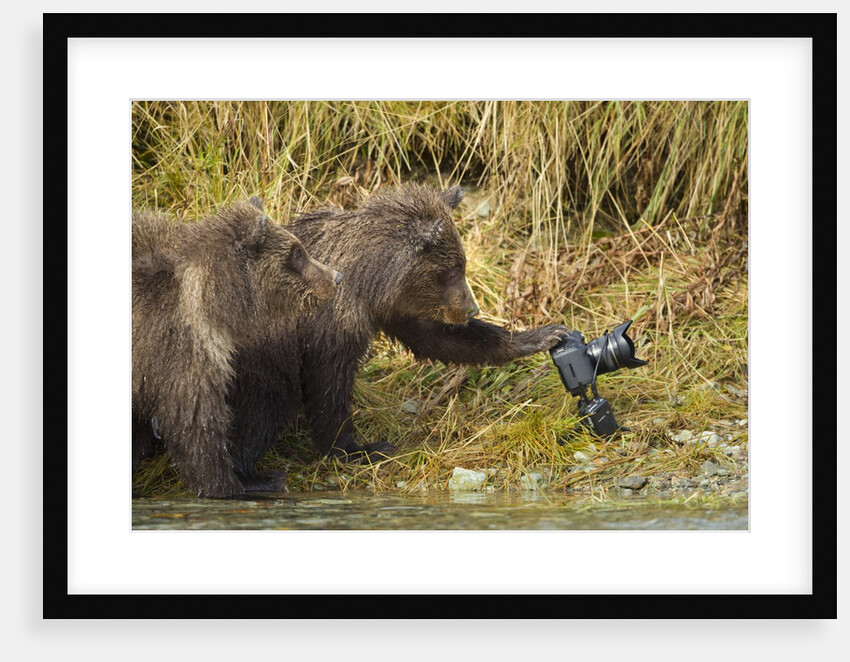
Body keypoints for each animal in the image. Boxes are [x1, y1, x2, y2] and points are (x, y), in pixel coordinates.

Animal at [225, 183, 570, 472]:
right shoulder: (330, 324)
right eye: (453, 270)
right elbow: (329, 386)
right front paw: (357, 448)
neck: (367, 283)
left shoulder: (393, 309)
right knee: (261, 412)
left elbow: (438, 338)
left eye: (461, 265)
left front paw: (542, 335)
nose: (471, 309)